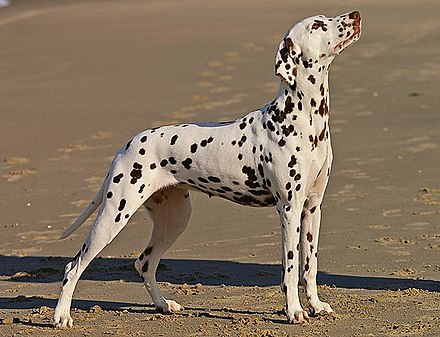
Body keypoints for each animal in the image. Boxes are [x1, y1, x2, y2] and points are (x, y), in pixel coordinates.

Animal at [53, 10, 360, 326]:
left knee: (145, 263)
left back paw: (163, 305)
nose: (355, 15)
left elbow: (309, 266)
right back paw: (61, 316)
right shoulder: (289, 208)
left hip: (175, 219)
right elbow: (290, 267)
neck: (302, 117)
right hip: (114, 216)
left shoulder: (312, 207)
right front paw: (294, 311)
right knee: (74, 266)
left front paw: (315, 305)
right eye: (317, 25)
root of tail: (127, 145)